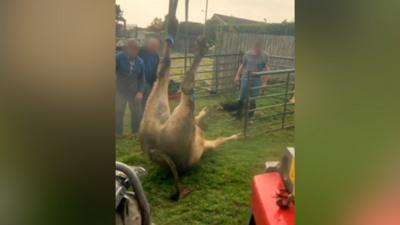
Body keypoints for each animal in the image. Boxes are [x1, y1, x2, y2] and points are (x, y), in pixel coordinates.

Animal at [138, 0, 238, 200]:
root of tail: (154, 150)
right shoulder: (206, 142)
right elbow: (221, 139)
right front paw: (236, 136)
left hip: (156, 108)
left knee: (164, 69)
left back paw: (172, 20)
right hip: (182, 117)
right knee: (187, 88)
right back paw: (201, 46)